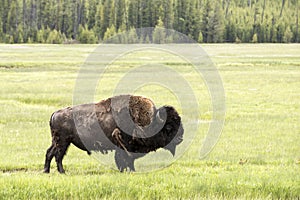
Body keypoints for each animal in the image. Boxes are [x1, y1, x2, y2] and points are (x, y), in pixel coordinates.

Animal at [42, 94, 183, 173]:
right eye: (169, 127)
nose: (180, 139)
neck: (149, 122)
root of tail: (55, 113)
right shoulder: (125, 146)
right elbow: (125, 159)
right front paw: (129, 171)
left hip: (59, 141)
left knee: (50, 153)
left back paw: (46, 171)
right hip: (63, 142)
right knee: (58, 155)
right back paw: (62, 172)